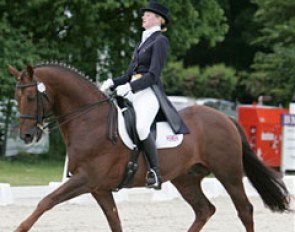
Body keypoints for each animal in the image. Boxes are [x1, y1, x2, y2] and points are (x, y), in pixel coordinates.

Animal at [8, 64, 290, 232]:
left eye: (31, 97)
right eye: (16, 97)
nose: (27, 136)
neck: (90, 119)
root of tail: (225, 117)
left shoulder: (86, 179)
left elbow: (46, 201)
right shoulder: (99, 188)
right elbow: (115, 221)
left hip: (228, 173)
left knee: (244, 209)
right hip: (185, 179)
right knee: (204, 210)